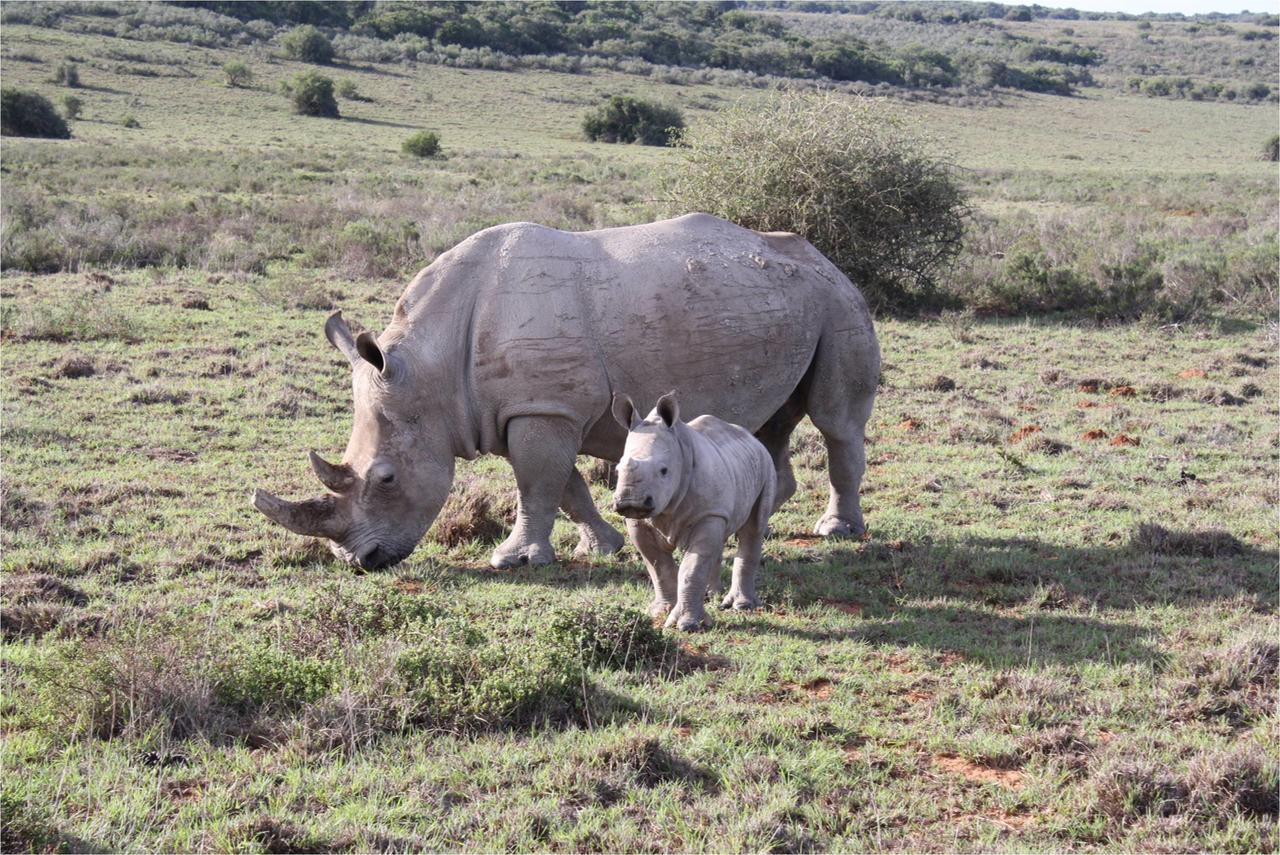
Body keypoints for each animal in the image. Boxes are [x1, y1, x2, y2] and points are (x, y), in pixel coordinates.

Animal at [611, 391, 773, 632]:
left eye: (664, 471)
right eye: (617, 469)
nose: (631, 502)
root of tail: (751, 437)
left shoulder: (708, 513)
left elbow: (691, 568)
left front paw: (687, 625)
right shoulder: (638, 521)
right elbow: (658, 566)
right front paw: (661, 611)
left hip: (765, 463)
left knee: (753, 528)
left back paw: (741, 606)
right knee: (719, 539)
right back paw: (710, 595)